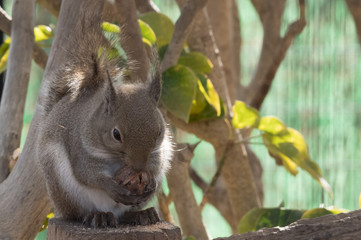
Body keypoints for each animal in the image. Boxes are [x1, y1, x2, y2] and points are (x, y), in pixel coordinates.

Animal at [37, 16, 172, 227]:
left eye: (159, 133)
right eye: (116, 134)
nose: (138, 167)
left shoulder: (159, 152)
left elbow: (155, 164)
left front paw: (151, 180)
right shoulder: (79, 148)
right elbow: (87, 173)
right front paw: (110, 187)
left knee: (125, 214)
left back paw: (141, 214)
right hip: (65, 189)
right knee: (79, 213)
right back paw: (97, 216)